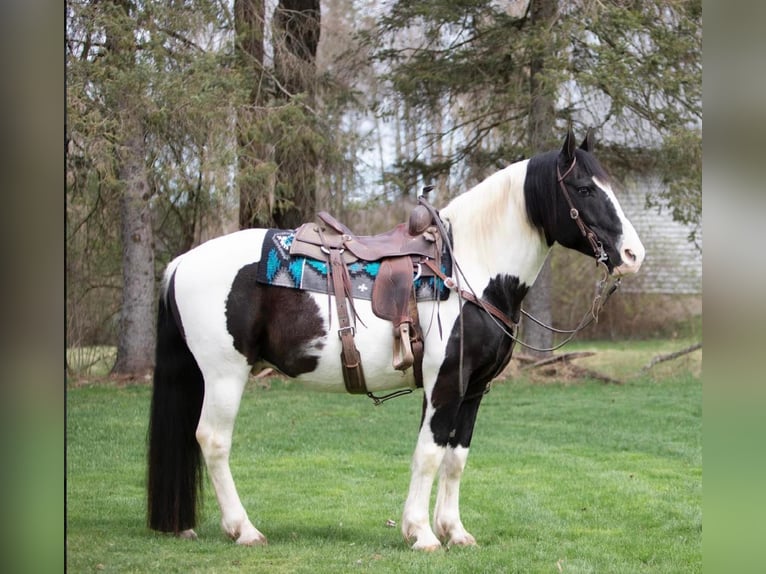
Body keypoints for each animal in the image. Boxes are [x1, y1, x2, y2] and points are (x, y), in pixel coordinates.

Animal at [147, 130, 644, 552]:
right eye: (584, 189)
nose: (633, 254)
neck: (471, 269)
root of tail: (182, 263)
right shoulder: (445, 383)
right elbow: (428, 453)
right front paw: (421, 534)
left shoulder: (474, 388)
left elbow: (455, 457)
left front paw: (454, 531)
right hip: (224, 374)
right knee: (213, 440)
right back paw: (244, 529)